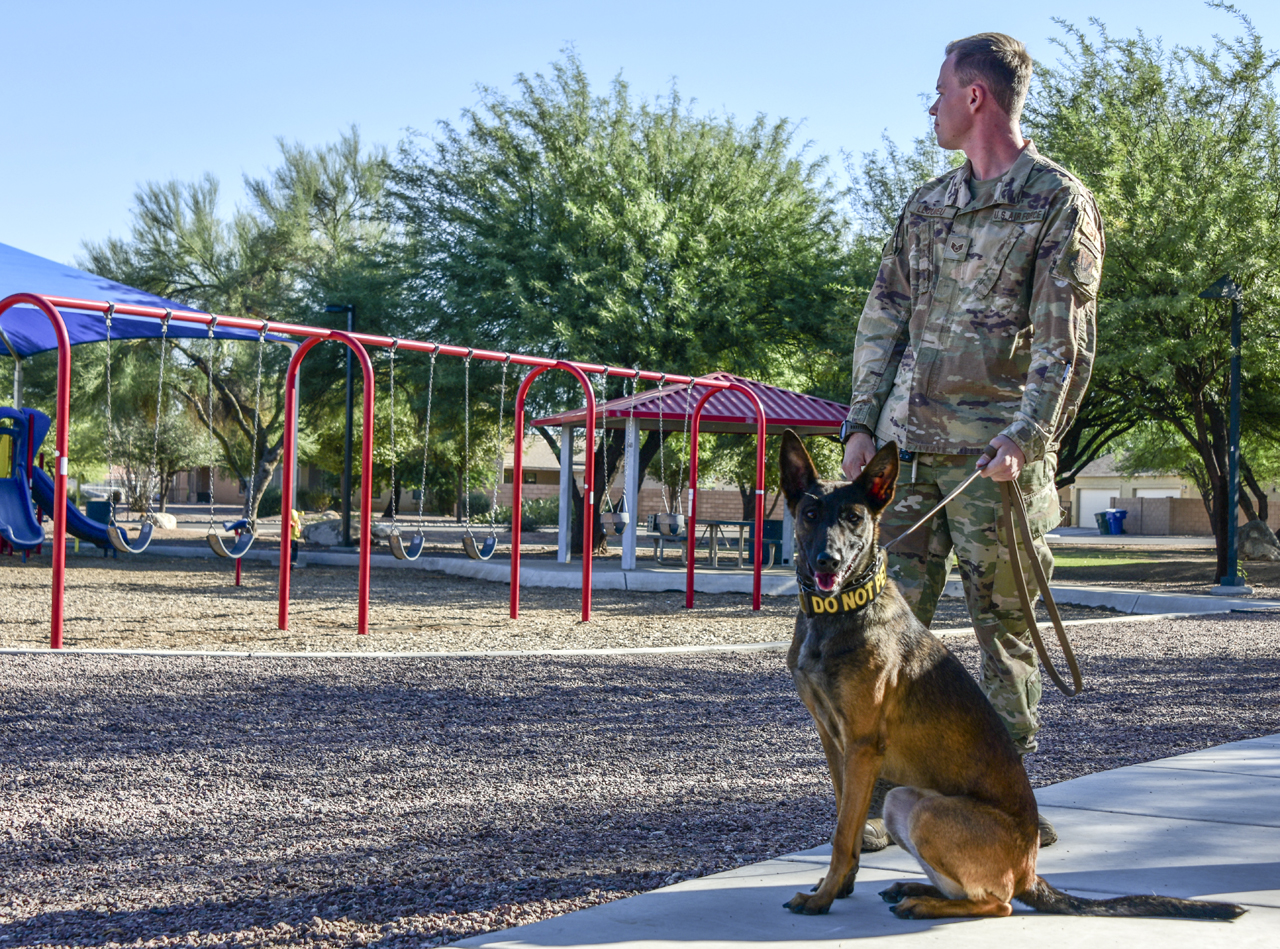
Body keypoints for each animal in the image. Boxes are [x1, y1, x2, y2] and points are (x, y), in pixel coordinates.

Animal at [773, 430, 1244, 916]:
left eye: (854, 518)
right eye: (810, 515)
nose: (827, 561)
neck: (841, 610)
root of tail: (1029, 870)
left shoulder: (862, 746)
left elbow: (842, 834)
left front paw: (823, 897)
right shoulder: (835, 742)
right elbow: (844, 824)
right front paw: (838, 887)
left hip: (924, 808)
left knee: (999, 903)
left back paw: (926, 903)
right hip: (903, 801)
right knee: (974, 891)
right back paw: (915, 889)